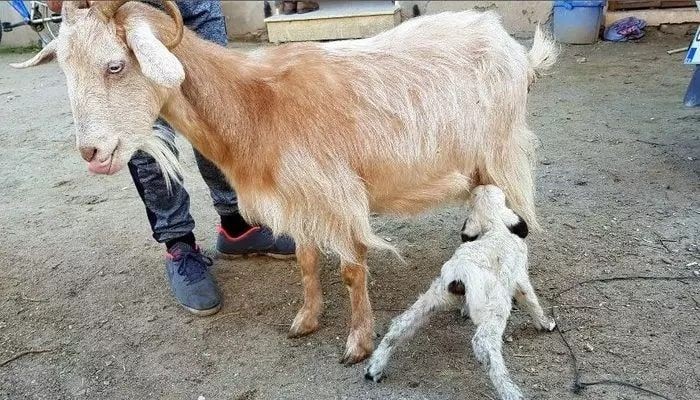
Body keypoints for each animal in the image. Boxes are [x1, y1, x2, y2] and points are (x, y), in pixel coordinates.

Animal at [12, 0, 556, 362]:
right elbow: (306, 263)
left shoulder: (337, 195)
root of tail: (516, 51)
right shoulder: (297, 200)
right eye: (63, 68)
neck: (255, 105)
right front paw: (306, 320)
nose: (92, 154)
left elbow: (351, 271)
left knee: (518, 220)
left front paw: (357, 342)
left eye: (116, 64)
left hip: (504, 149)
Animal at [364, 185, 556, 400]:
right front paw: (545, 323)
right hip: (496, 306)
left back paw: (375, 366)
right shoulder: (520, 277)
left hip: (436, 295)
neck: (495, 228)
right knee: (484, 344)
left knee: (401, 324)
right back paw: (510, 390)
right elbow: (532, 301)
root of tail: (463, 270)